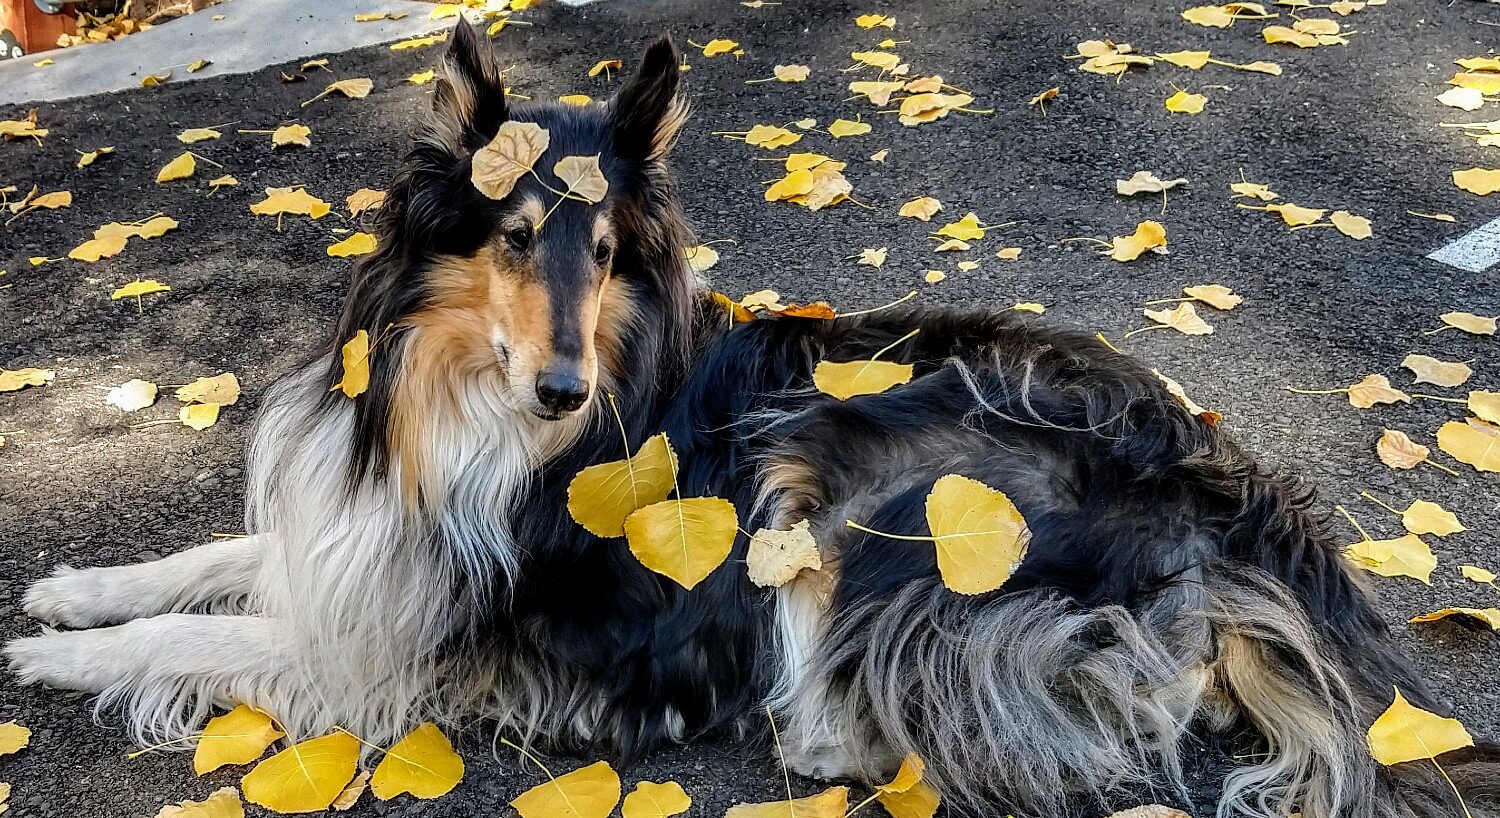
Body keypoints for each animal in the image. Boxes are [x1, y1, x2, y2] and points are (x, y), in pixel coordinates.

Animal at [5, 22, 1494, 810]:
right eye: (519, 233)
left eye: (610, 252)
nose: (565, 393)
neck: (463, 401)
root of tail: (1230, 491)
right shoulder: (379, 541)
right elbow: (218, 560)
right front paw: (73, 591)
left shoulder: (432, 640)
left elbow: (214, 629)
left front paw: (55, 662)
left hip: (852, 473)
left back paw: (822, 725)